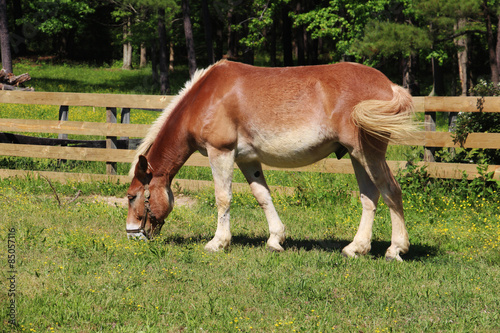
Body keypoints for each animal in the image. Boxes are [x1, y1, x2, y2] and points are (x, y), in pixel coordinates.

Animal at [126, 61, 414, 260]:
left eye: (131, 197)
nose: (132, 234)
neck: (206, 97)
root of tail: (389, 85)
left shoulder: (221, 152)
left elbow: (223, 198)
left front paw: (218, 242)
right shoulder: (247, 160)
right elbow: (263, 196)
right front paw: (276, 239)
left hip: (368, 152)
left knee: (391, 191)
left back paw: (395, 250)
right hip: (356, 155)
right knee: (369, 197)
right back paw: (356, 247)